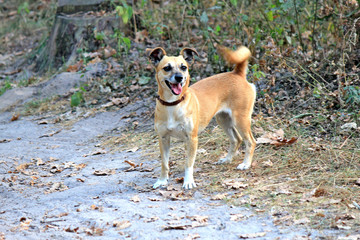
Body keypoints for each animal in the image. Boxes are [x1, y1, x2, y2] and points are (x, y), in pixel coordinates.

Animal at [146, 45, 256, 189]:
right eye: (167, 68)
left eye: (183, 67)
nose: (179, 77)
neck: (173, 104)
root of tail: (237, 73)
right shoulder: (163, 139)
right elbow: (164, 163)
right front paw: (162, 180)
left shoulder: (192, 139)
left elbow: (188, 163)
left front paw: (188, 181)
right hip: (223, 120)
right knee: (236, 139)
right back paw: (227, 159)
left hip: (241, 120)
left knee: (251, 142)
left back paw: (246, 164)